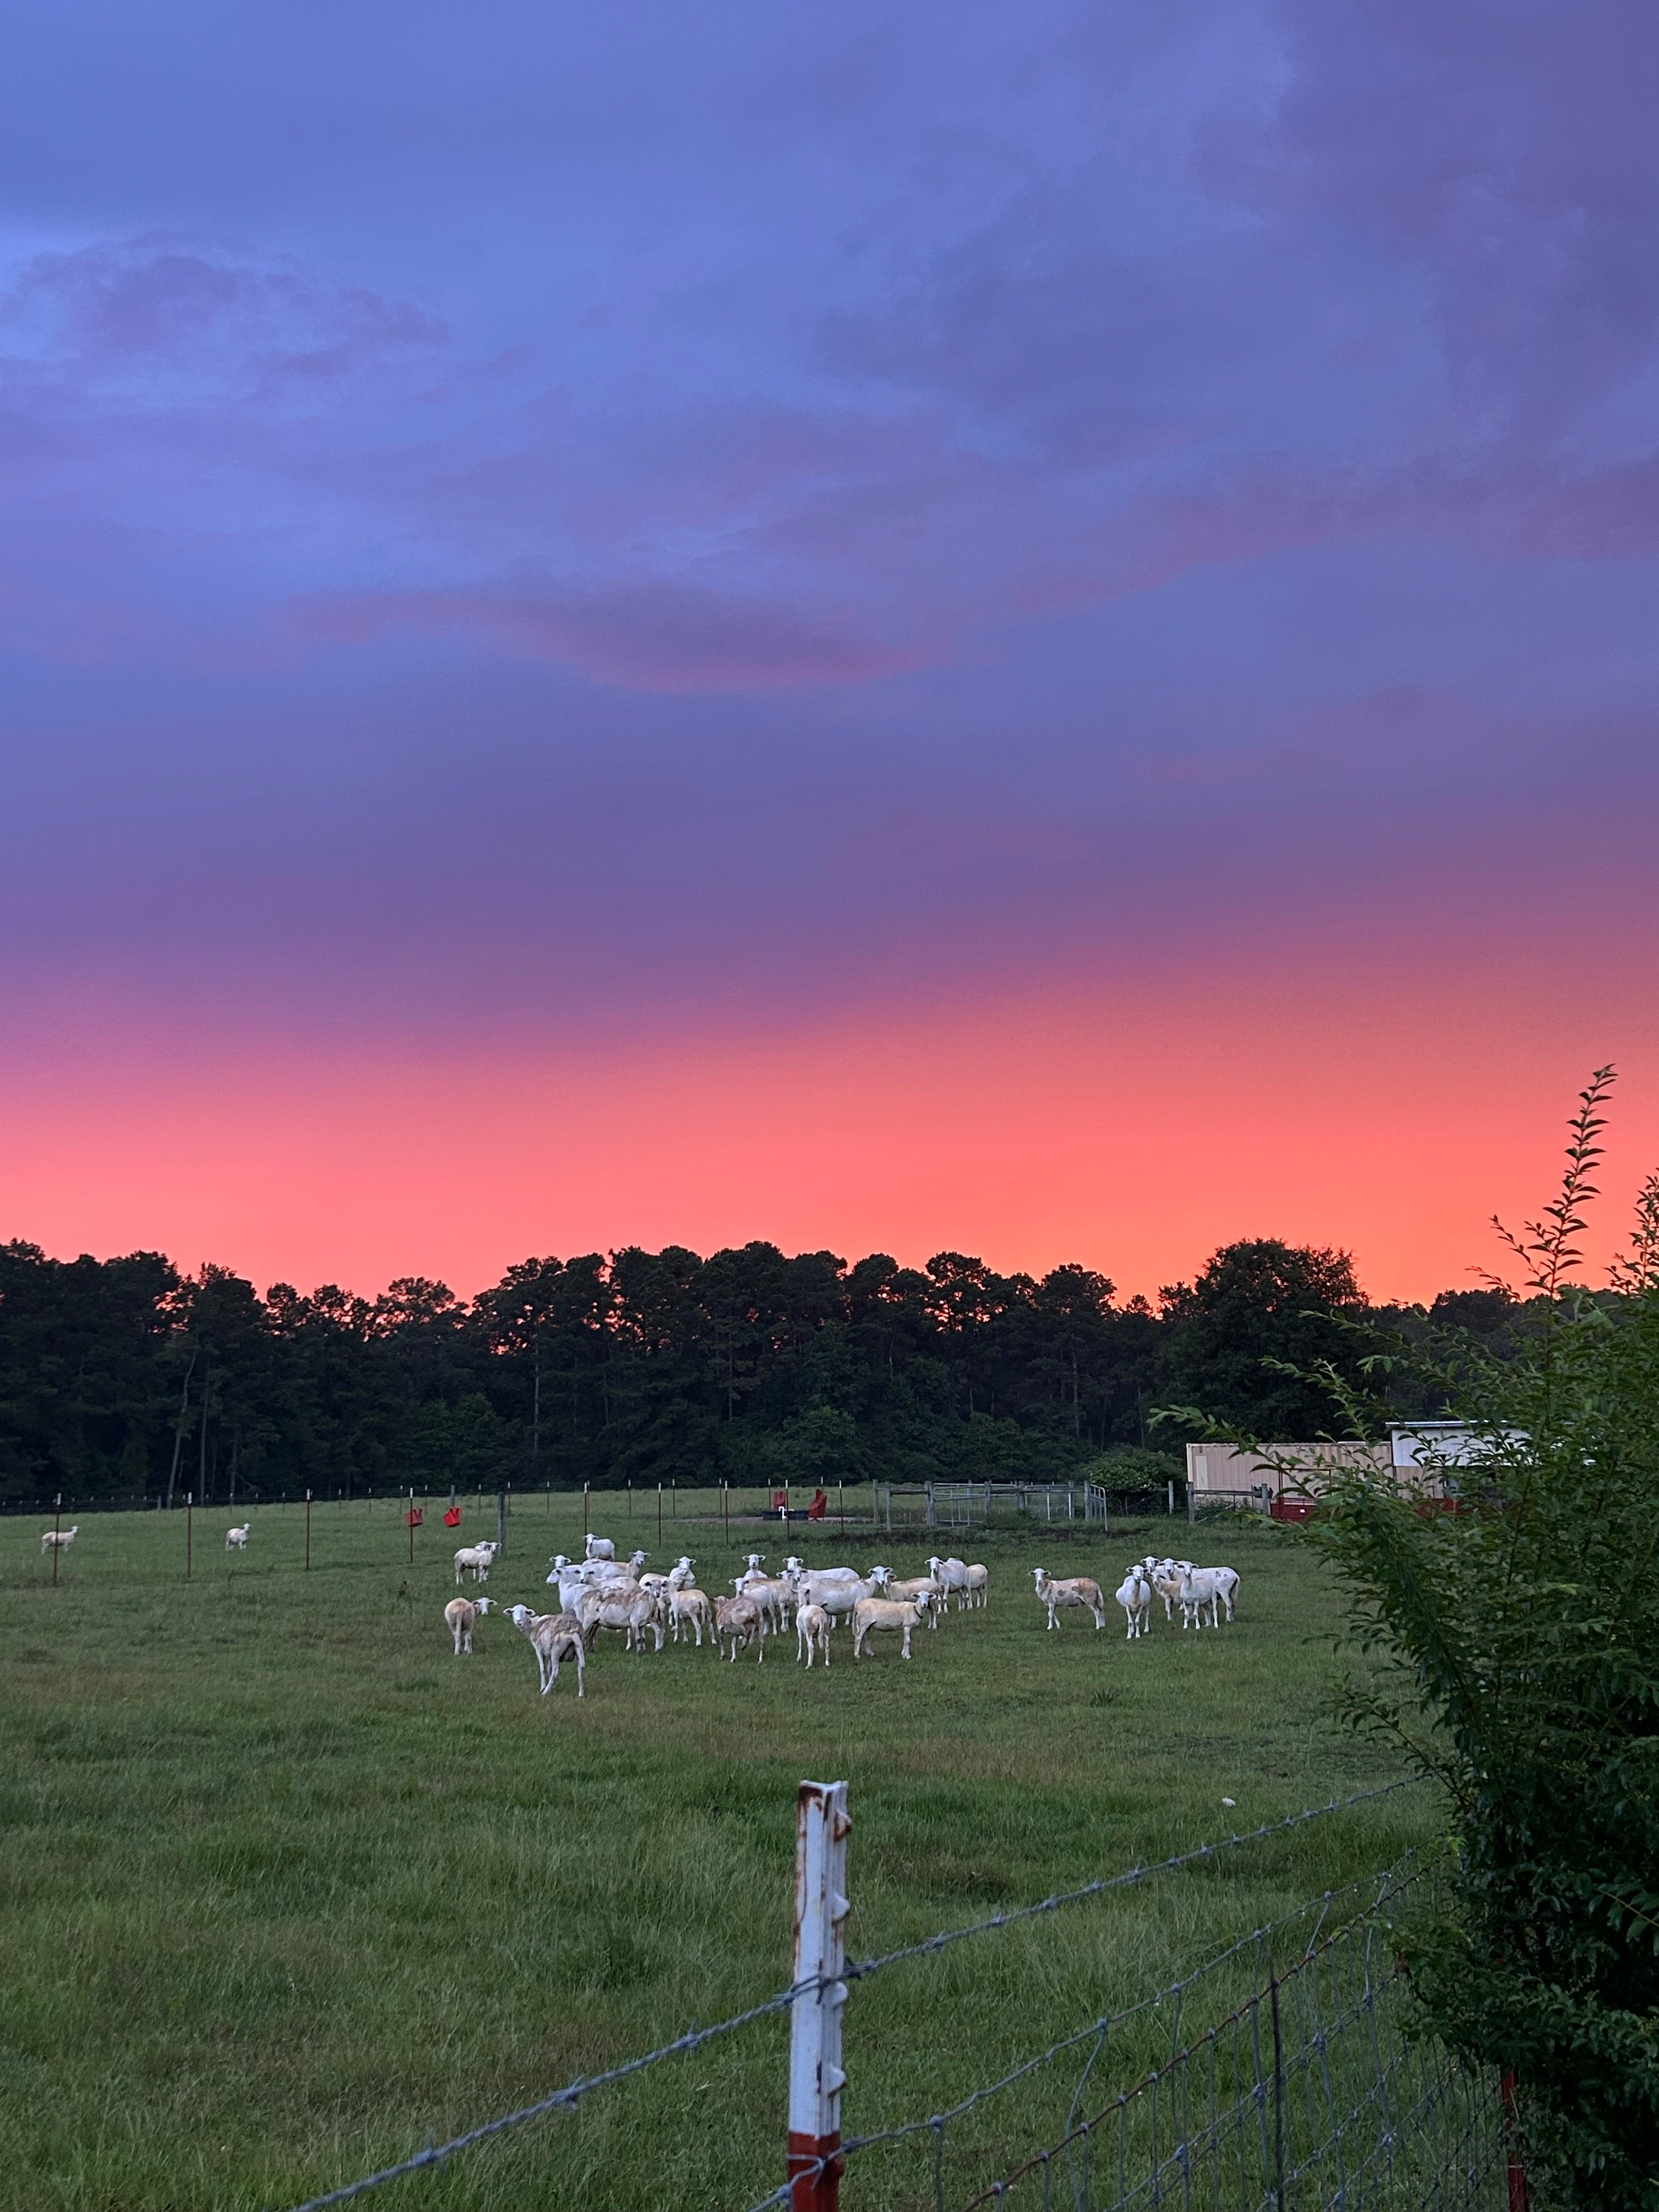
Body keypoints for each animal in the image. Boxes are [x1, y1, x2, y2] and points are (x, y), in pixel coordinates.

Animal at [506, 1601, 592, 1699]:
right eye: (513, 1612)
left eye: (525, 1612)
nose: (519, 1622)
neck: (533, 1626)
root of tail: (573, 1631)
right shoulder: (549, 1652)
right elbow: (549, 1669)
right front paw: (554, 1687)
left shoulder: (539, 1649)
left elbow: (543, 1669)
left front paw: (543, 1687)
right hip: (579, 1648)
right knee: (580, 1669)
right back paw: (581, 1694)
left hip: (556, 1650)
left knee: (556, 1672)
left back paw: (545, 1692)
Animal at [858, 1593, 938, 1663]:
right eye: (919, 1596)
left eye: (928, 1596)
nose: (925, 1604)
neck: (914, 1609)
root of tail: (858, 1606)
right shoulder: (907, 1626)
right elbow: (908, 1641)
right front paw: (908, 1656)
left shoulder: (906, 1627)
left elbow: (905, 1640)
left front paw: (903, 1655)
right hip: (864, 1623)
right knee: (859, 1637)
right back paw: (857, 1655)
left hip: (868, 1625)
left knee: (865, 1637)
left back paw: (870, 1653)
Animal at [1035, 1566, 1110, 1637]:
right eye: (1035, 1574)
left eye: (1043, 1574)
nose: (1039, 1580)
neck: (1046, 1586)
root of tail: (1096, 1585)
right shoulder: (1052, 1603)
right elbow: (1053, 1614)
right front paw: (1058, 1625)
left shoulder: (1051, 1602)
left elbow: (1050, 1614)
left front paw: (1050, 1627)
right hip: (1095, 1600)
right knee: (1101, 1611)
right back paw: (1102, 1625)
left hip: (1090, 1600)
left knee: (1097, 1612)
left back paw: (1097, 1627)